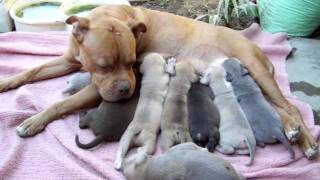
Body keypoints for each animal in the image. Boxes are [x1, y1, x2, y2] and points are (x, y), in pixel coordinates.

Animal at [0, 4, 318, 158]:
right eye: (104, 65)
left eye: (131, 63)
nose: (126, 89)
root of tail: (256, 47)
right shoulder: (68, 60)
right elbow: (31, 72)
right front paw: (7, 82)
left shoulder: (95, 88)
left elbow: (62, 104)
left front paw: (32, 122)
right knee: (278, 109)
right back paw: (294, 133)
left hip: (256, 70)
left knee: (290, 107)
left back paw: (306, 140)